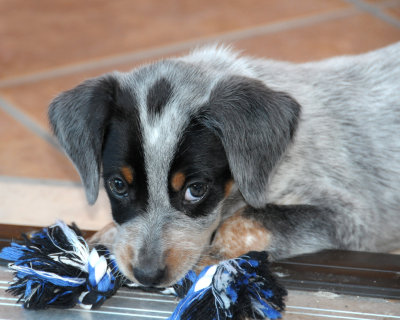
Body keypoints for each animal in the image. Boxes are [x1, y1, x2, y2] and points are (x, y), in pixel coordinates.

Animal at [49, 43, 400, 288]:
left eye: (196, 189)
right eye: (118, 185)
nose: (147, 276)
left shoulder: (350, 218)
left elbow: (251, 217)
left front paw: (212, 255)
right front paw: (105, 236)